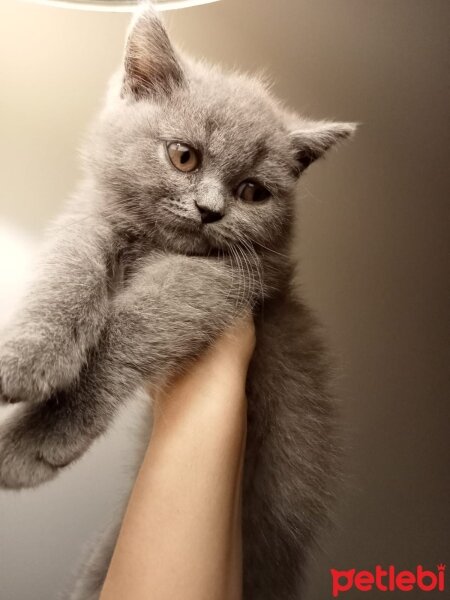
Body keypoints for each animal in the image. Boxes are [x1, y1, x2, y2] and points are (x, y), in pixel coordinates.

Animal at [0, 5, 356, 600]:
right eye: (184, 157)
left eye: (253, 192)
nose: (209, 210)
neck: (154, 246)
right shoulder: (96, 213)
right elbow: (73, 263)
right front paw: (29, 357)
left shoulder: (230, 282)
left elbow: (134, 326)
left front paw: (36, 441)